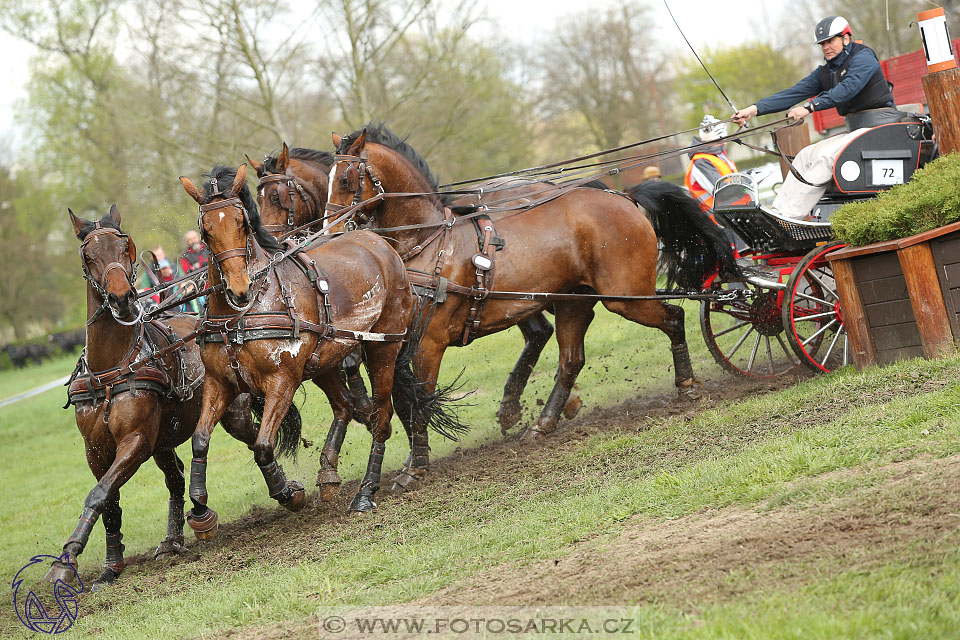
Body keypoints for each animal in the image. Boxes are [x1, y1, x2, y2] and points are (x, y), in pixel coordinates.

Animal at [45, 206, 262, 592]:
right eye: (88, 255)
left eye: (125, 248)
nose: (121, 298)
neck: (111, 369)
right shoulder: (95, 450)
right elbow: (109, 501)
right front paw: (110, 566)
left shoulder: (136, 441)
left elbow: (99, 493)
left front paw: (67, 559)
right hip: (164, 440)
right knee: (174, 478)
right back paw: (171, 540)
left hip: (230, 414)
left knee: (253, 439)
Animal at [182, 165, 464, 516]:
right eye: (205, 231)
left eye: (242, 223)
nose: (239, 289)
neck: (245, 313)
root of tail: (378, 241)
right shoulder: (219, 382)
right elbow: (200, 439)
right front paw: (199, 506)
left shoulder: (283, 381)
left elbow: (263, 445)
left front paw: (288, 492)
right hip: (324, 361)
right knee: (345, 407)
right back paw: (331, 474)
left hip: (383, 347)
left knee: (381, 417)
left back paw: (366, 491)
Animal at [326, 122, 740, 488]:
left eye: (346, 180)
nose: (330, 233)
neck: (429, 242)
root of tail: (622, 197)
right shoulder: (393, 345)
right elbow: (404, 399)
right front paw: (409, 459)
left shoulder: (430, 342)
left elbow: (421, 401)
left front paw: (416, 467)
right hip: (574, 303)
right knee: (571, 360)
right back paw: (544, 423)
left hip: (625, 298)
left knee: (675, 317)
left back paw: (687, 385)